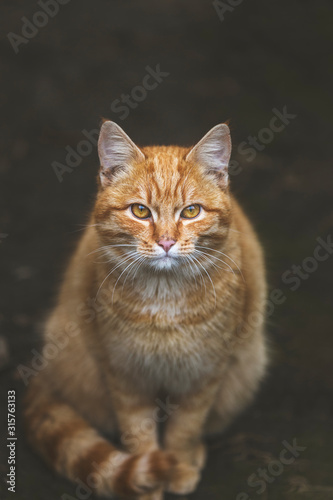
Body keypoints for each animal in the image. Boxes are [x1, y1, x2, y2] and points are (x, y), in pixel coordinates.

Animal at [24, 119, 268, 498]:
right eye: (140, 211)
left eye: (191, 211)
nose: (166, 241)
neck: (163, 299)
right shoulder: (124, 373)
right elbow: (138, 433)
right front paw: (147, 483)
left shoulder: (204, 373)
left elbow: (185, 427)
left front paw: (178, 465)